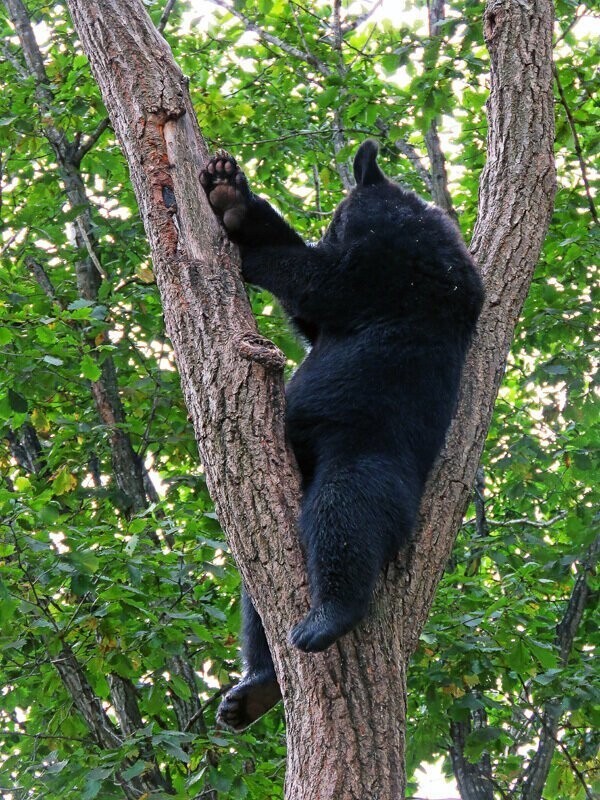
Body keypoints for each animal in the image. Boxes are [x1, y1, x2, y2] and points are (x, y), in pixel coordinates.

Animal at [199, 141, 486, 728]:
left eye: (334, 221)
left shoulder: (394, 271)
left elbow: (320, 283)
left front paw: (239, 210)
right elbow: (310, 320)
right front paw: (225, 187)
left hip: (367, 456)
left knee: (343, 515)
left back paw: (326, 619)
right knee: (256, 597)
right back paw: (255, 689)